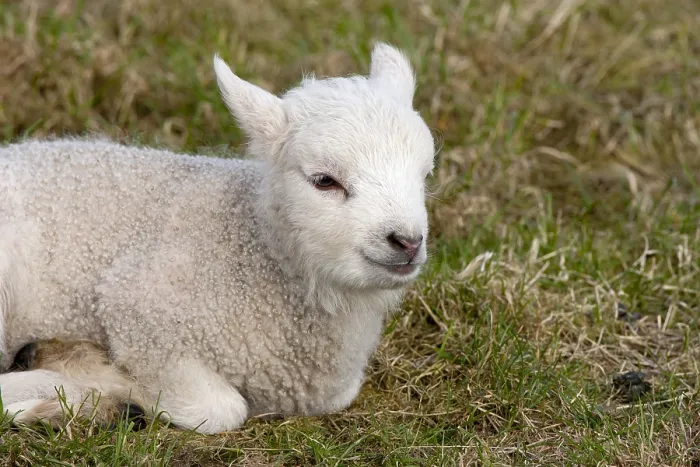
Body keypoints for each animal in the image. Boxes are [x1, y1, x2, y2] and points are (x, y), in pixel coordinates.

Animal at [0, 43, 435, 434]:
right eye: (324, 181)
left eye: (425, 173)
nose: (407, 242)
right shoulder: (138, 306)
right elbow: (219, 409)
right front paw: (112, 385)